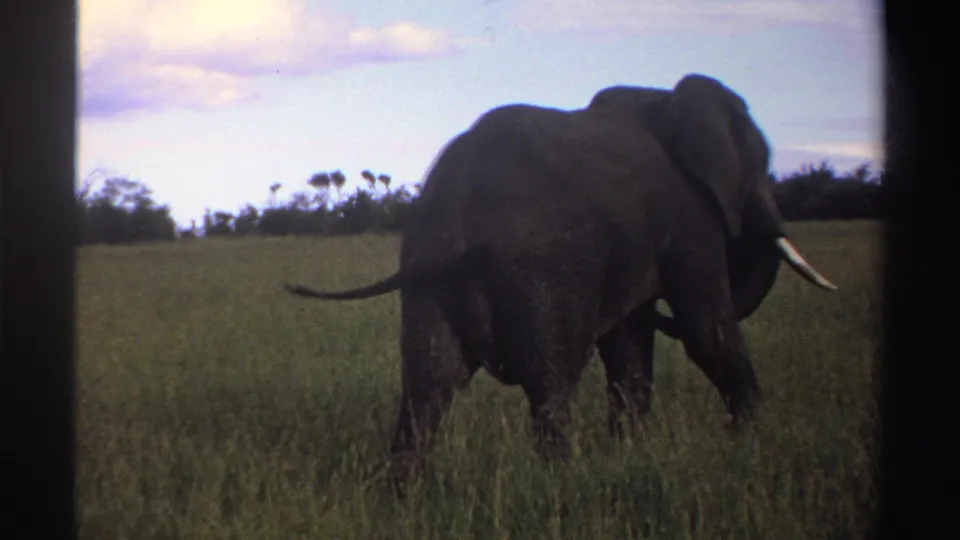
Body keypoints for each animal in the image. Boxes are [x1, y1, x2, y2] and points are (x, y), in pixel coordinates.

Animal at [283, 73, 838, 494]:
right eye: (761, 167)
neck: (666, 100)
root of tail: (455, 220)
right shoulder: (689, 221)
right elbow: (707, 332)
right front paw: (755, 443)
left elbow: (630, 349)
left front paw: (631, 454)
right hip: (541, 270)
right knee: (550, 384)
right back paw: (563, 487)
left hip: (431, 280)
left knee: (428, 385)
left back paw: (404, 499)